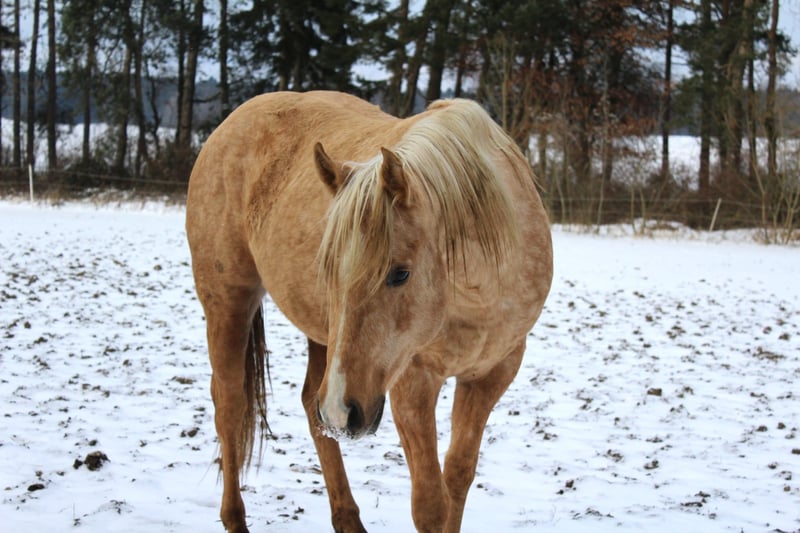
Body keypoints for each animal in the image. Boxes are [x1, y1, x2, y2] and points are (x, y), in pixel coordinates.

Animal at [185, 91, 553, 533]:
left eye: (400, 273)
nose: (343, 412)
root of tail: (230, 123)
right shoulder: (412, 384)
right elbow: (430, 503)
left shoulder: (491, 376)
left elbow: (458, 477)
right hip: (229, 303)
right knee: (230, 407)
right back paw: (235, 518)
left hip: (325, 342)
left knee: (310, 407)